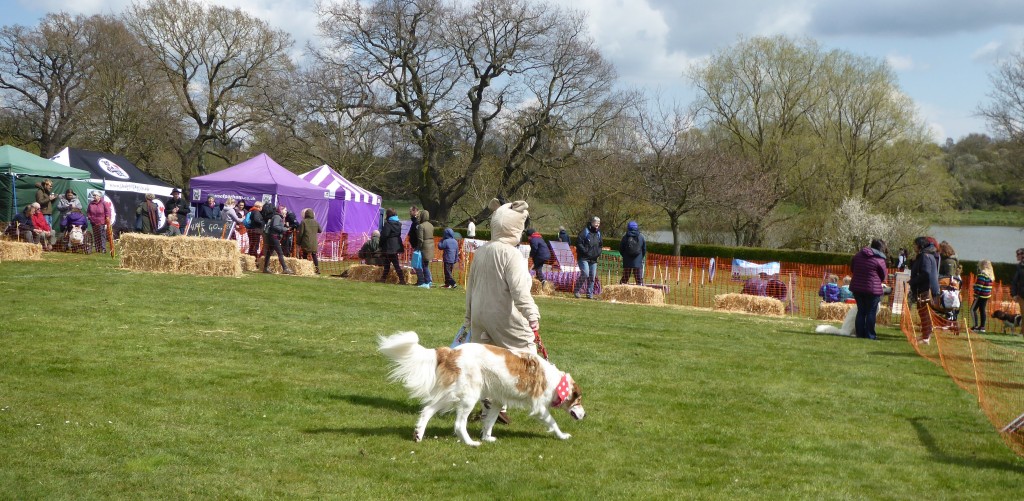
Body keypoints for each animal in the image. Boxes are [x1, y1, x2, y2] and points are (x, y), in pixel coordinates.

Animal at [378, 331, 585, 444]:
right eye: (579, 400)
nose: (585, 414)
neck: (556, 381)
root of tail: (451, 351)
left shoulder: (497, 402)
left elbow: (490, 421)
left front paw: (487, 437)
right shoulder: (539, 408)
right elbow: (553, 423)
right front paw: (562, 436)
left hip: (452, 395)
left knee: (428, 410)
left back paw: (418, 435)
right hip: (468, 396)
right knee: (458, 424)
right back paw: (470, 443)